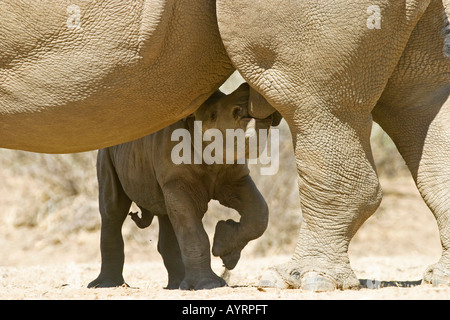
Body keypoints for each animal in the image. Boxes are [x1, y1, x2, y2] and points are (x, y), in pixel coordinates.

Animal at [87, 83, 270, 290]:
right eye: (213, 115)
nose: (245, 98)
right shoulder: (177, 180)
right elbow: (192, 228)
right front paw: (208, 284)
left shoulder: (235, 177)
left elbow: (259, 212)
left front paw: (225, 251)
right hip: (107, 151)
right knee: (113, 210)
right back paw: (105, 285)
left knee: (166, 212)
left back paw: (177, 284)